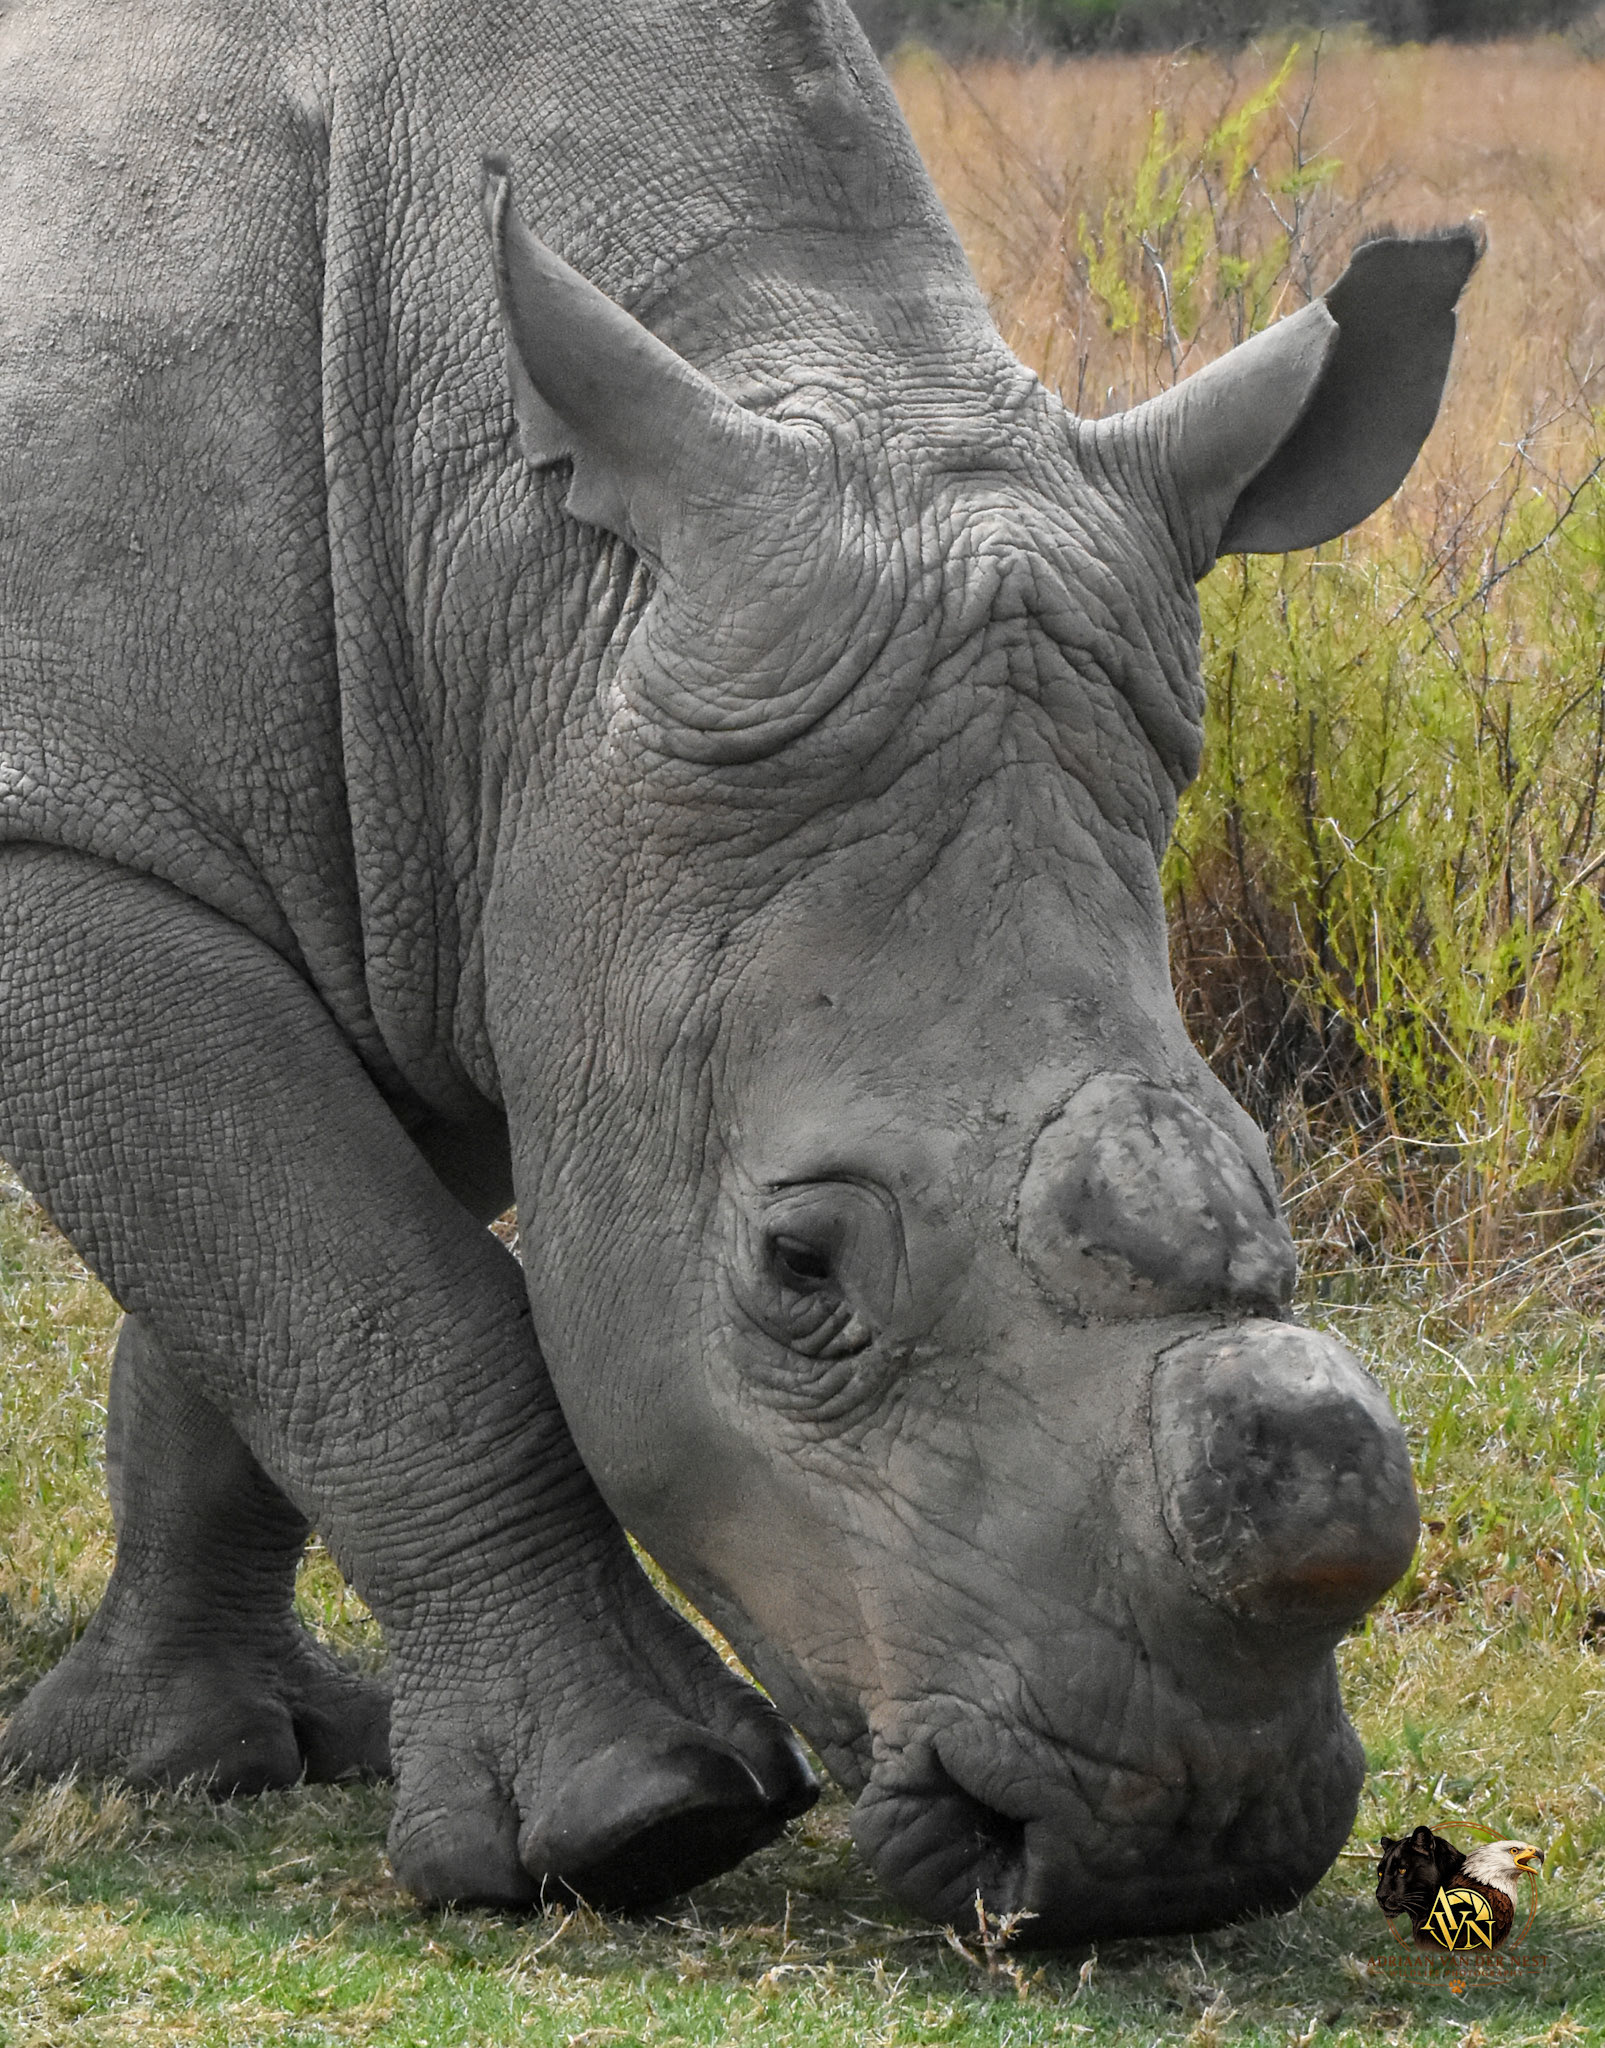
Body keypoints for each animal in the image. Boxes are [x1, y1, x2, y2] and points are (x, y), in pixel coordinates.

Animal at [0, 0, 1475, 1940]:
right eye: (799, 1269)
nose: (1187, 1842)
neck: (527, 575)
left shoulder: (449, 866)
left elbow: (258, 1309)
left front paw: (171, 1753)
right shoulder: (67, 829)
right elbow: (369, 1288)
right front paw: (635, 1825)